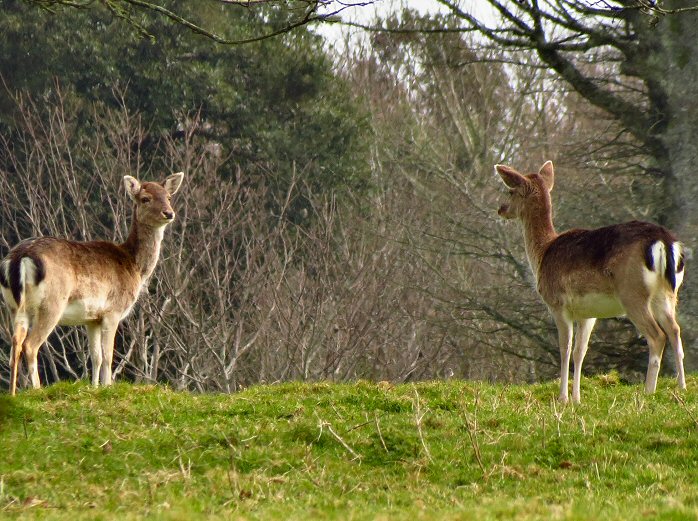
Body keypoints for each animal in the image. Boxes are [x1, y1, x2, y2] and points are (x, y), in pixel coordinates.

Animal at [0, 171, 185, 394]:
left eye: (168, 197)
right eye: (145, 198)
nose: (169, 213)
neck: (135, 268)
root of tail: (19, 258)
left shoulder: (92, 318)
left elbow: (95, 357)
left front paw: (95, 387)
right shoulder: (112, 311)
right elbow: (107, 356)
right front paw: (108, 386)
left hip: (14, 306)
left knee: (15, 344)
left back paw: (12, 393)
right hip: (52, 303)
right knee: (30, 345)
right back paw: (38, 390)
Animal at [492, 160, 684, 404]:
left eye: (510, 191)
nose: (500, 209)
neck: (543, 254)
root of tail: (664, 241)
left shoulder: (558, 304)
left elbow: (565, 348)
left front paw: (563, 398)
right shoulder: (588, 313)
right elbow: (580, 351)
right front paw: (576, 398)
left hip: (632, 293)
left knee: (657, 336)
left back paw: (648, 391)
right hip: (667, 293)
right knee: (675, 330)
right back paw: (682, 388)